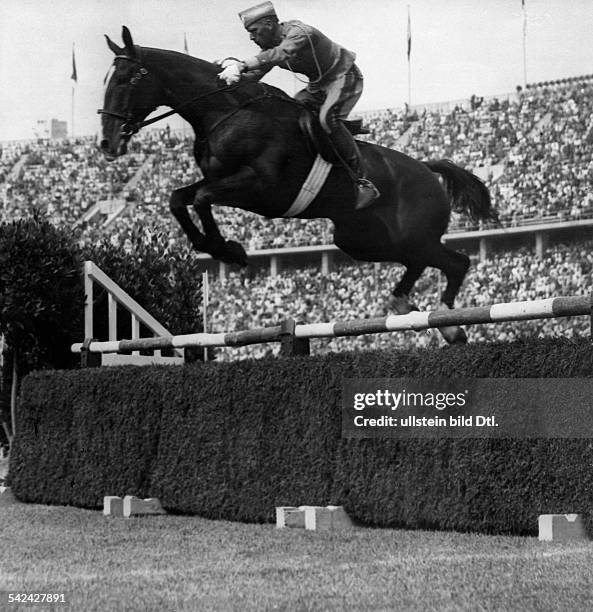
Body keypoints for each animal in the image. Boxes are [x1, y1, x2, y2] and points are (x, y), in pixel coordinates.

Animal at [99, 26, 498, 344]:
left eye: (127, 78)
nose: (107, 142)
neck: (225, 112)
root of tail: (428, 169)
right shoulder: (221, 179)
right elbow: (178, 198)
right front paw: (214, 246)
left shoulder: (262, 190)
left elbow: (201, 198)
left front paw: (228, 249)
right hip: (362, 240)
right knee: (423, 262)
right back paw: (414, 308)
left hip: (411, 235)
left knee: (455, 262)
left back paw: (443, 319)